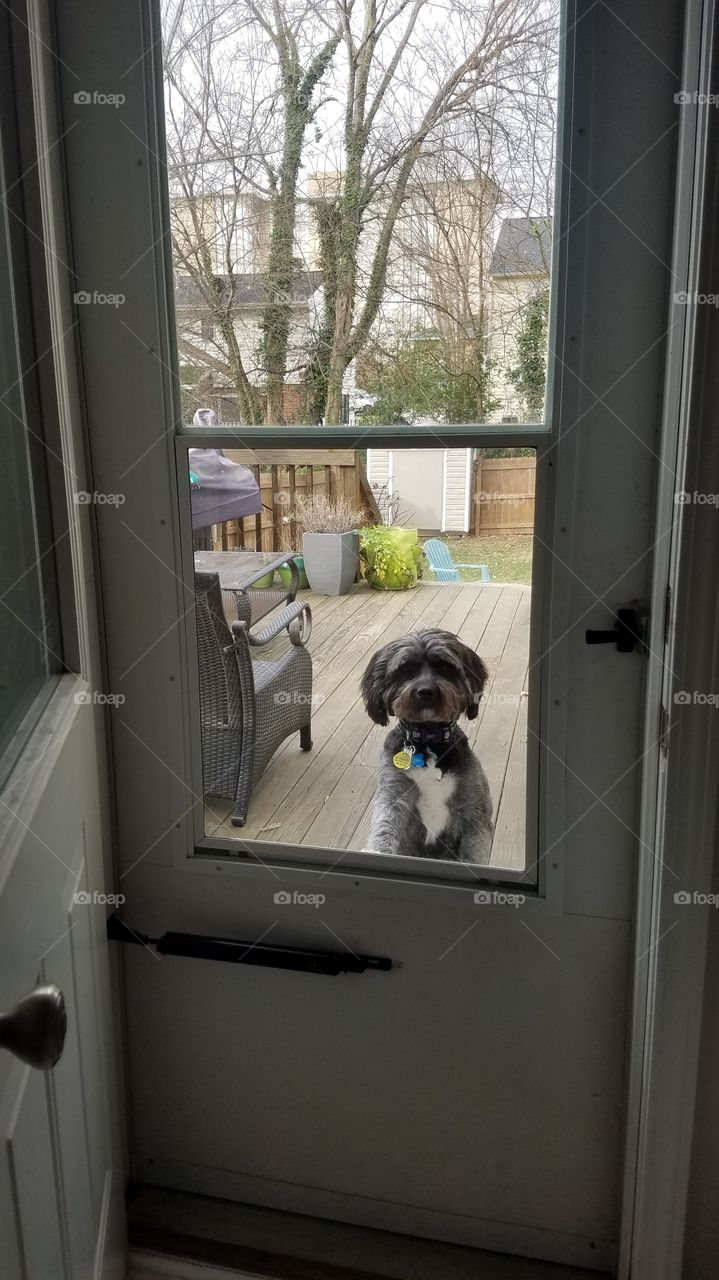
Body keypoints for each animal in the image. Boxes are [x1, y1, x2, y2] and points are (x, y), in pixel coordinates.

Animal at [360, 627, 488, 865]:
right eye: (405, 669)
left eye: (445, 667)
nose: (426, 691)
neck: (428, 740)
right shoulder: (394, 795)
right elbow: (385, 827)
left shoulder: (474, 806)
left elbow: (476, 851)